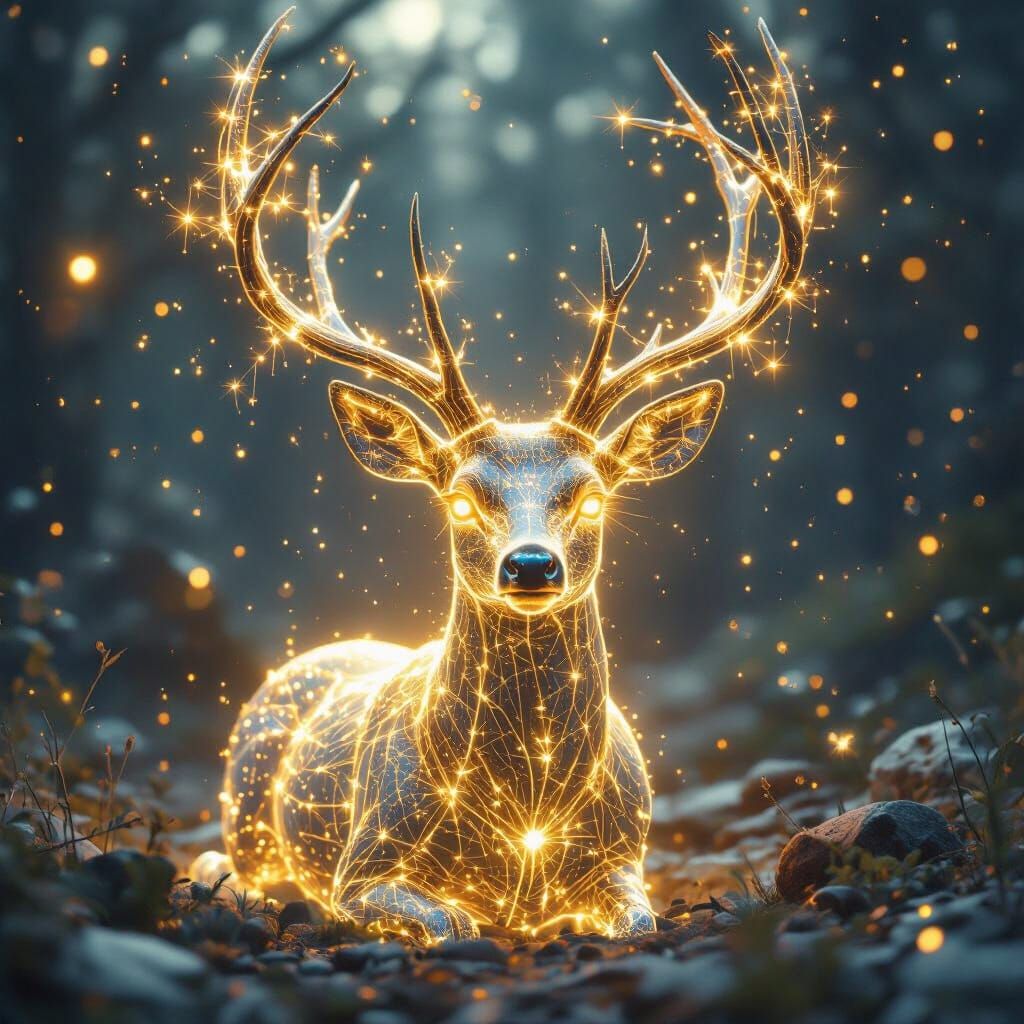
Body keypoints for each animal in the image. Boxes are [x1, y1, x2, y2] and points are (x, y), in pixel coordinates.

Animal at [199, 8, 813, 942]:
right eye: (460, 497)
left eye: (592, 495)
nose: (530, 565)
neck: (527, 828)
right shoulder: (357, 867)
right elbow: (448, 921)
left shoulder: (630, 857)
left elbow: (641, 922)